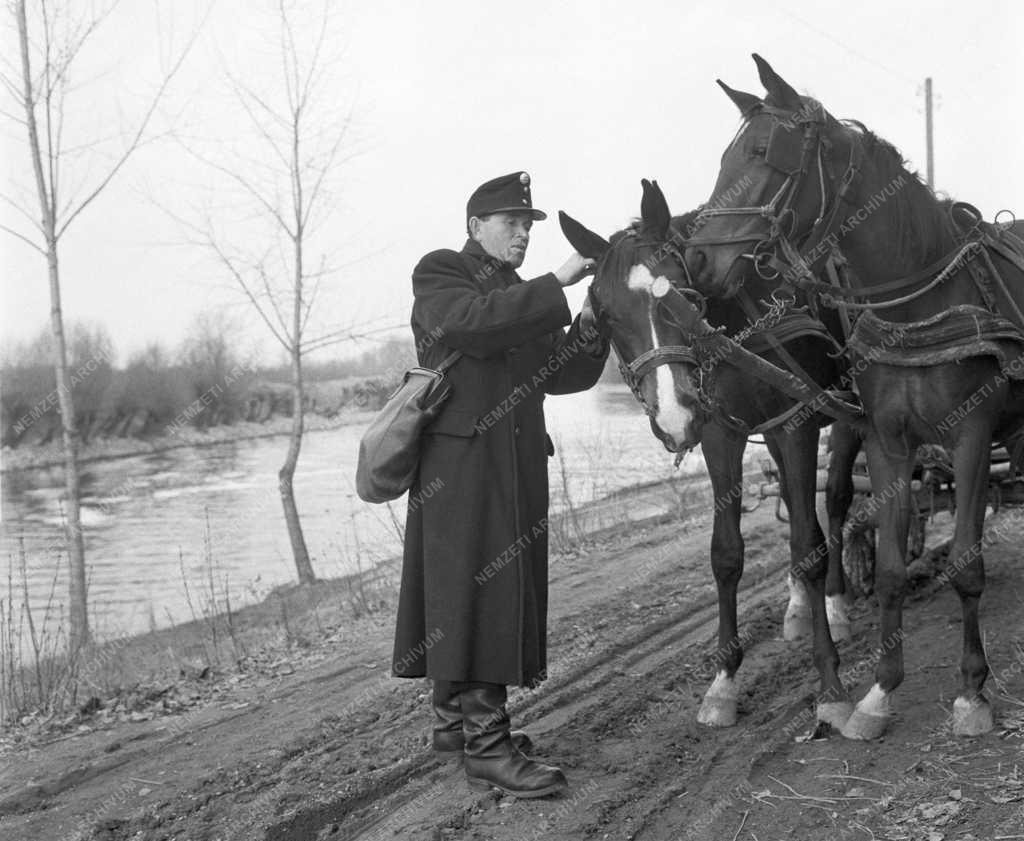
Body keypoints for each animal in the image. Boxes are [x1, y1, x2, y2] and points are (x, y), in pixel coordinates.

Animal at [561, 183, 864, 729]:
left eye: (687, 298)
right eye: (606, 315)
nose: (674, 415)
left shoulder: (797, 421)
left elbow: (809, 544)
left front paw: (830, 683)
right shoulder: (721, 432)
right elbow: (726, 554)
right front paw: (723, 682)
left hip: (845, 407)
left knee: (836, 499)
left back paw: (835, 602)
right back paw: (797, 608)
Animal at [684, 52, 1024, 737]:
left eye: (763, 152)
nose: (698, 262)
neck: (918, 301)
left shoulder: (972, 435)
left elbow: (965, 563)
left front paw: (972, 693)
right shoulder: (889, 440)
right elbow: (891, 567)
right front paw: (878, 693)